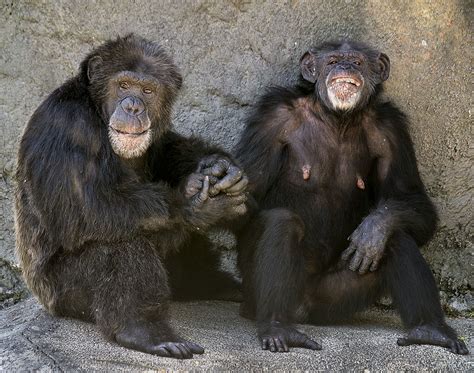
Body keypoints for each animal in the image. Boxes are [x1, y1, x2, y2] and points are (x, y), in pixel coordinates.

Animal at [14, 34, 248, 358]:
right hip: (63, 296)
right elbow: (84, 208)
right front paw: (190, 204)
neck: (96, 108)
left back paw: (210, 284)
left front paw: (218, 165)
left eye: (148, 90)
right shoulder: (65, 125)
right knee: (117, 242)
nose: (134, 106)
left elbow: (165, 148)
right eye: (123, 85)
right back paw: (145, 331)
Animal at [235, 40, 468, 354]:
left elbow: (412, 200)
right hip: (254, 292)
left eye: (356, 62)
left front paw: (374, 228)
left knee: (397, 237)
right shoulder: (272, 117)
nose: (344, 68)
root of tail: (300, 310)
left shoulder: (392, 130)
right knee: (281, 222)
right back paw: (276, 327)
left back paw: (430, 329)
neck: (337, 119)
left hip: (330, 301)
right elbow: (250, 187)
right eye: (333, 60)